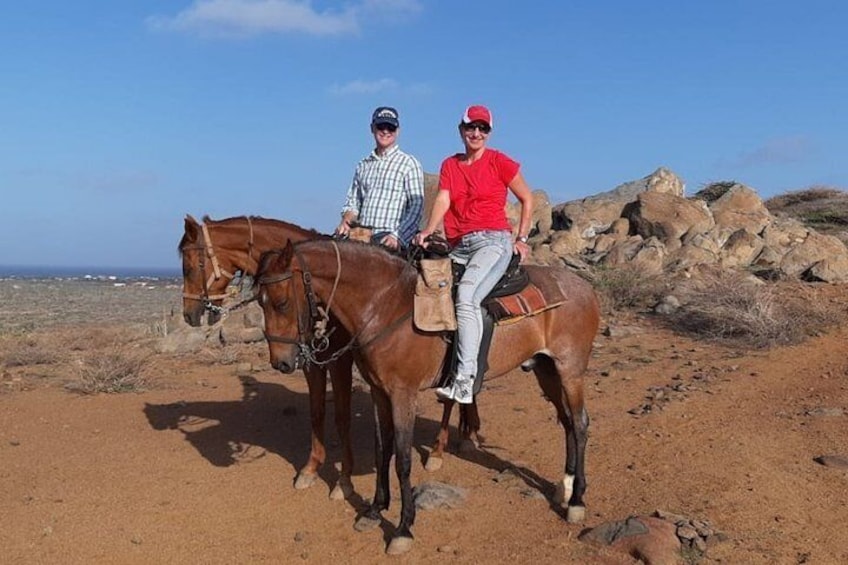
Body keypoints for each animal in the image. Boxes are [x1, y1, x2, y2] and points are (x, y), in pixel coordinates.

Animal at [255, 238, 600, 556]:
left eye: (282, 302)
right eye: (260, 302)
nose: (281, 363)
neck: (385, 305)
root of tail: (585, 287)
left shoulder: (403, 394)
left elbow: (403, 460)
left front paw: (403, 528)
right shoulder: (379, 392)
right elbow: (382, 451)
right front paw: (374, 509)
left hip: (570, 370)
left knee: (581, 423)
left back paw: (577, 501)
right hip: (547, 370)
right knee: (567, 423)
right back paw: (565, 486)